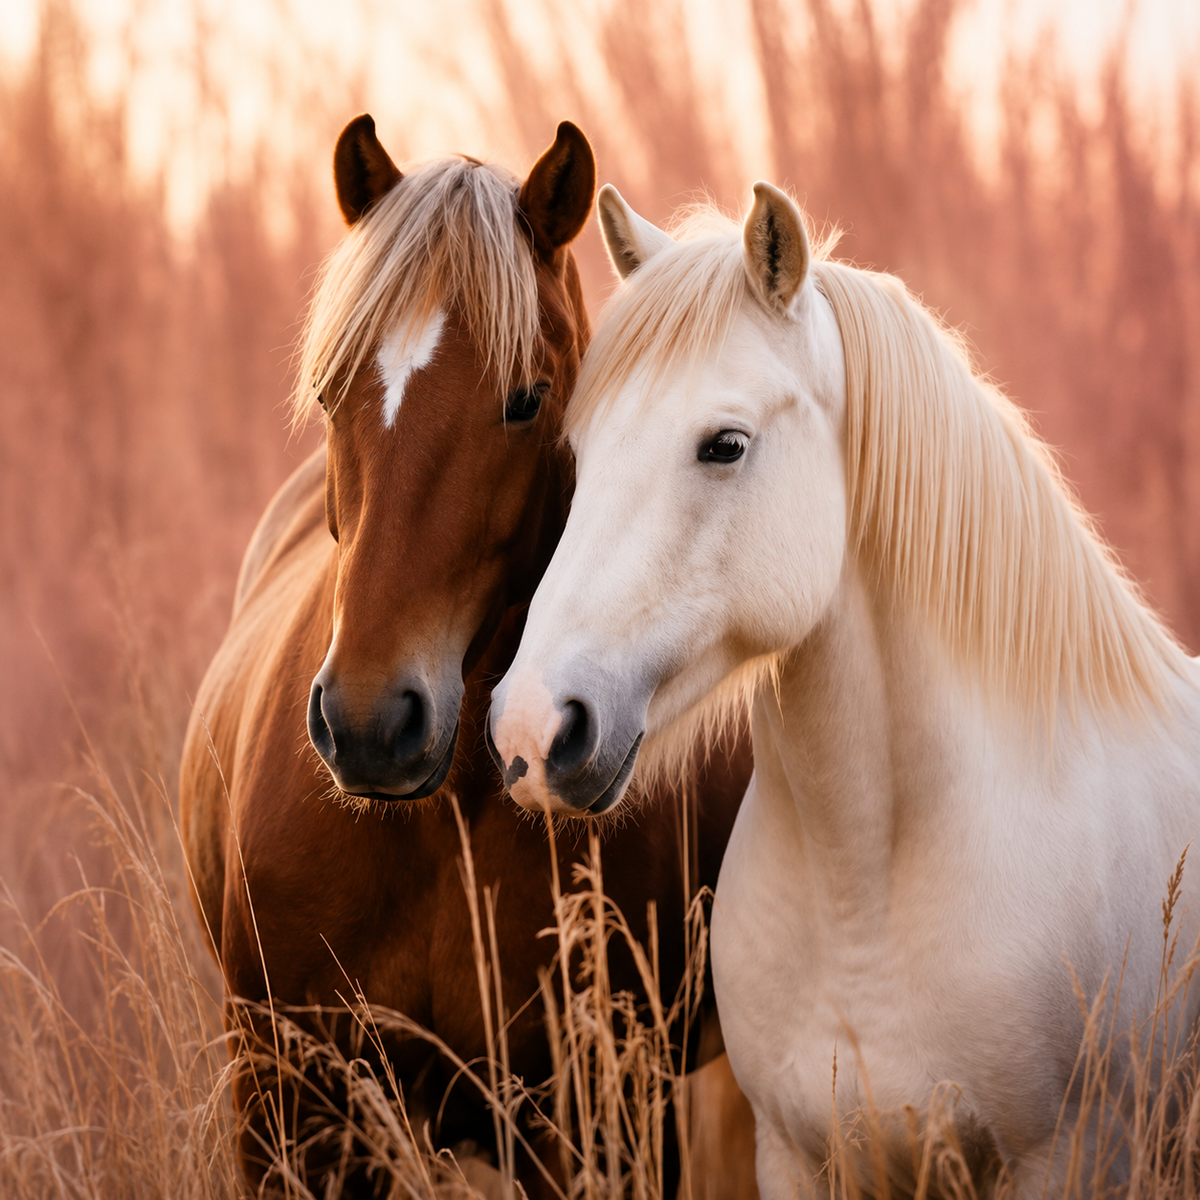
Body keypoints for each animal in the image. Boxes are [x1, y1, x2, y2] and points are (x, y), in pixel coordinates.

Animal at [179, 118, 753, 1197]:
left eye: (527, 400)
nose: (370, 724)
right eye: (330, 389)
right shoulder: (288, 1106)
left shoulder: (600, 1114)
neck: (438, 827)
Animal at [487, 180, 1200, 1197]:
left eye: (725, 445)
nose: (532, 730)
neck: (867, 890)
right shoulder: (795, 1156)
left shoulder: (1071, 1156)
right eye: (580, 453)